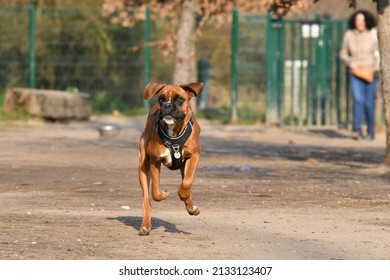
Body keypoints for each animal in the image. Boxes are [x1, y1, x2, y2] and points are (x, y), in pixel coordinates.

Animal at [138, 82, 204, 235]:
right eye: (161, 99)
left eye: (179, 98)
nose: (167, 105)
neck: (174, 134)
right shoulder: (154, 160)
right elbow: (155, 192)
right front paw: (164, 194)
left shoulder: (194, 156)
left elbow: (187, 182)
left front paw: (183, 195)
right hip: (142, 168)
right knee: (147, 199)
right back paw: (145, 225)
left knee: (186, 182)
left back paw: (191, 207)